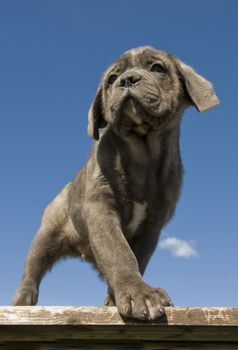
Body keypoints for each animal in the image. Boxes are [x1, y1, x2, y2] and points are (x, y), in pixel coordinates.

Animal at [11, 46, 219, 320]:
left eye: (158, 68)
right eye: (111, 79)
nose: (127, 79)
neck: (143, 153)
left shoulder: (152, 227)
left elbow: (135, 257)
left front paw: (126, 294)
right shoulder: (101, 209)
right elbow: (118, 252)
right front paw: (139, 293)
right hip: (45, 236)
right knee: (31, 272)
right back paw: (21, 301)